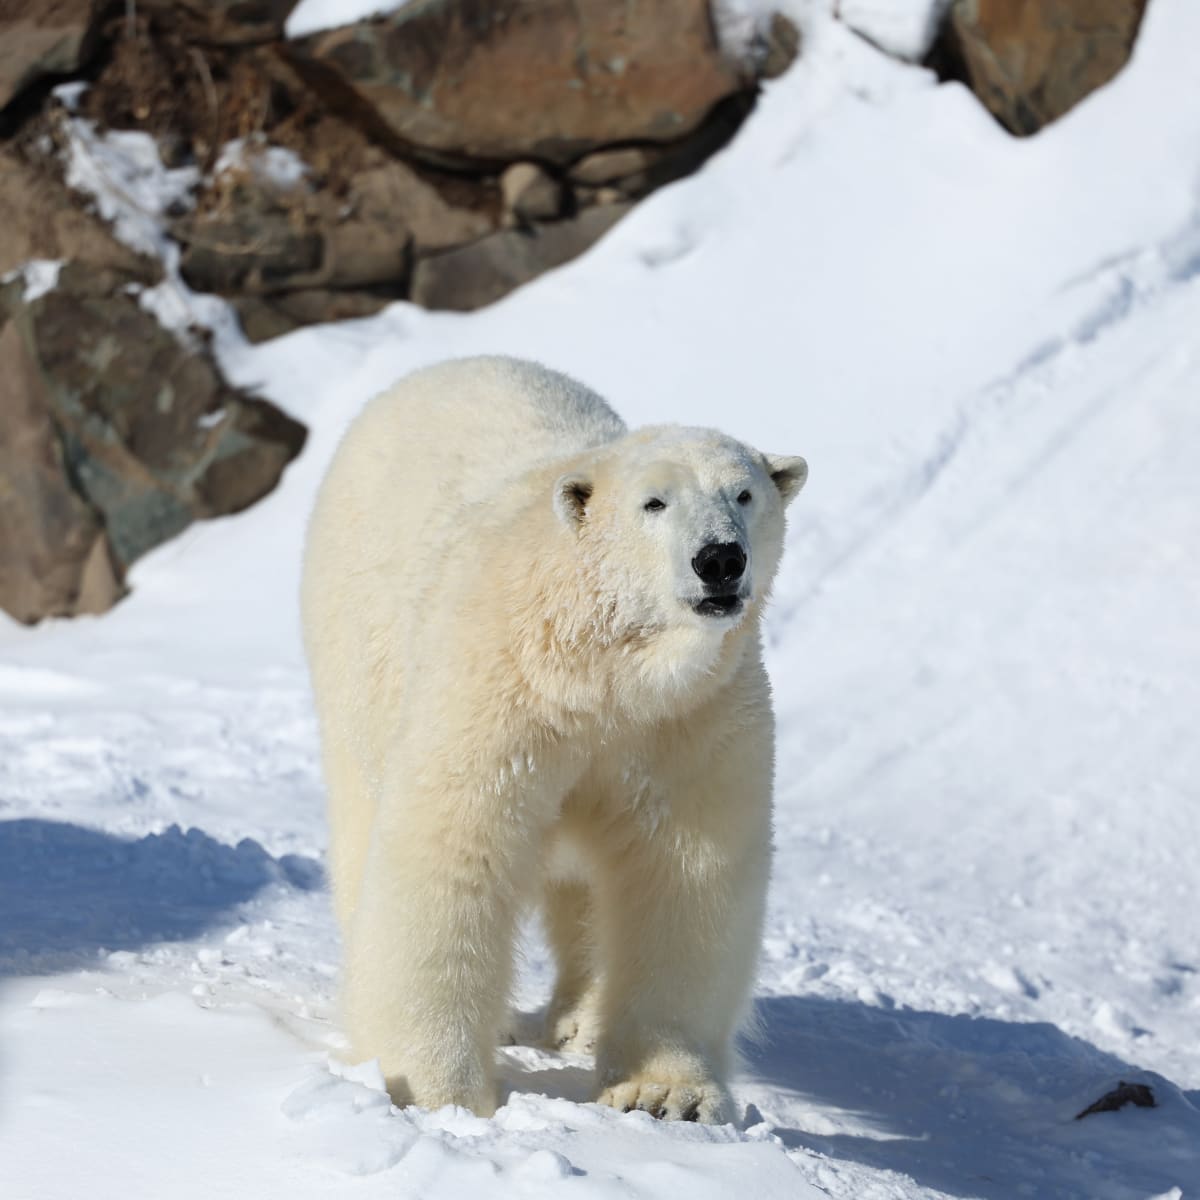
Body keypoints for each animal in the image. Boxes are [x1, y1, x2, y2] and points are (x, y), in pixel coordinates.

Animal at [301, 355, 807, 1123]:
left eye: (745, 493)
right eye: (654, 503)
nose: (719, 559)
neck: (605, 670)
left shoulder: (689, 720)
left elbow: (682, 872)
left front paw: (667, 1092)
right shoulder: (503, 688)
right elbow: (454, 844)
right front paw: (437, 1088)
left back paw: (580, 1019)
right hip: (355, 651)